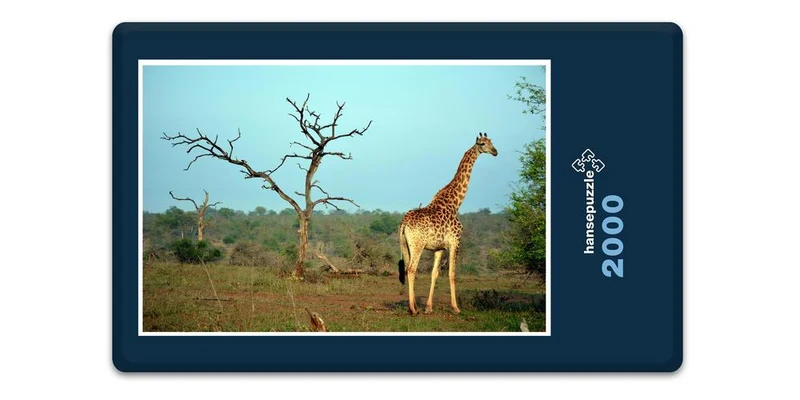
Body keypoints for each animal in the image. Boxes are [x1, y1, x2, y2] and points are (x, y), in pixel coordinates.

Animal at [397, 132, 498, 315]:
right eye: (482, 144)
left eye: (491, 142)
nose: (495, 152)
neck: (455, 203)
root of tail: (404, 223)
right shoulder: (455, 242)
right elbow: (452, 273)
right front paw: (456, 307)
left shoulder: (439, 248)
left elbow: (434, 274)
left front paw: (429, 307)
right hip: (417, 245)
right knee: (411, 269)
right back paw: (413, 309)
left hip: (405, 245)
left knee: (407, 268)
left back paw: (414, 306)